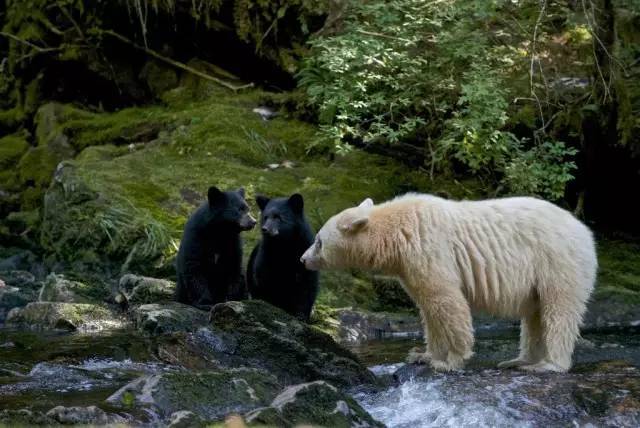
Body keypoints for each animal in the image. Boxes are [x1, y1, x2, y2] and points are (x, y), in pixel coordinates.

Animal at [302, 194, 596, 372]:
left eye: (318, 241)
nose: (303, 259)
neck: (398, 231)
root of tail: (584, 231)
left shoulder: (428, 249)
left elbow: (447, 301)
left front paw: (451, 361)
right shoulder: (410, 267)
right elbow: (428, 308)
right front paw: (423, 355)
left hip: (556, 260)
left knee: (558, 310)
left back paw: (549, 364)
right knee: (535, 315)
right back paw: (518, 360)